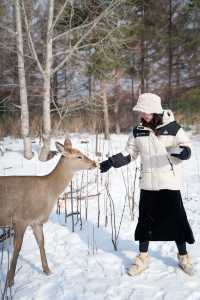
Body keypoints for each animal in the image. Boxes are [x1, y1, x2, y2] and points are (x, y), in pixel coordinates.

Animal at [0, 138, 97, 286]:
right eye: (78, 156)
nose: (94, 163)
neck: (49, 191)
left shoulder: (36, 221)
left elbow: (41, 243)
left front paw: (47, 271)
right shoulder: (20, 219)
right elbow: (17, 249)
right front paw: (10, 281)